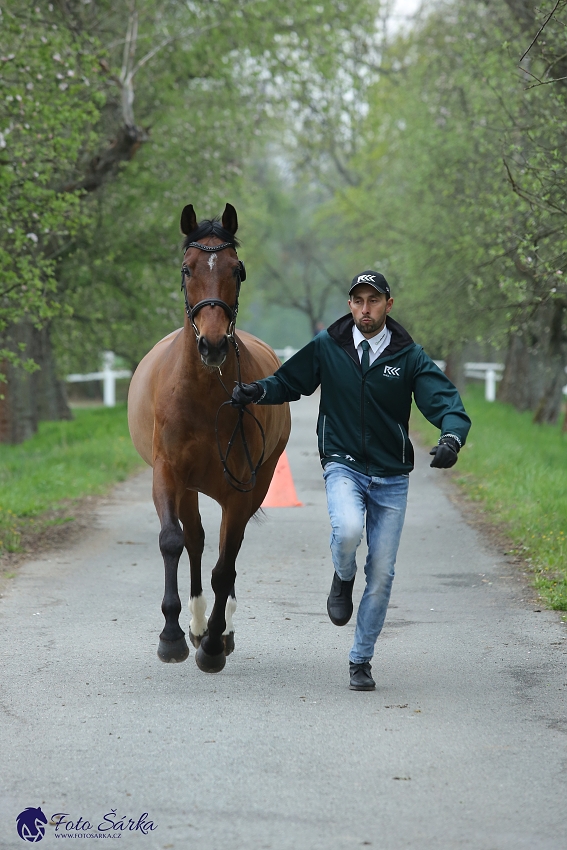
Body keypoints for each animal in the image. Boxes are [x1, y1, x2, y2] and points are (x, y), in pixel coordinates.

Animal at [127, 202, 290, 672]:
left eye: (237, 270)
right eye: (187, 269)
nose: (214, 345)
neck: (202, 393)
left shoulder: (240, 490)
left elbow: (225, 565)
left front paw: (215, 643)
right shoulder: (167, 475)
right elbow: (173, 542)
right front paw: (172, 637)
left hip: (252, 484)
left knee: (223, 552)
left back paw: (217, 631)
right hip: (189, 487)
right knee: (196, 541)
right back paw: (195, 625)